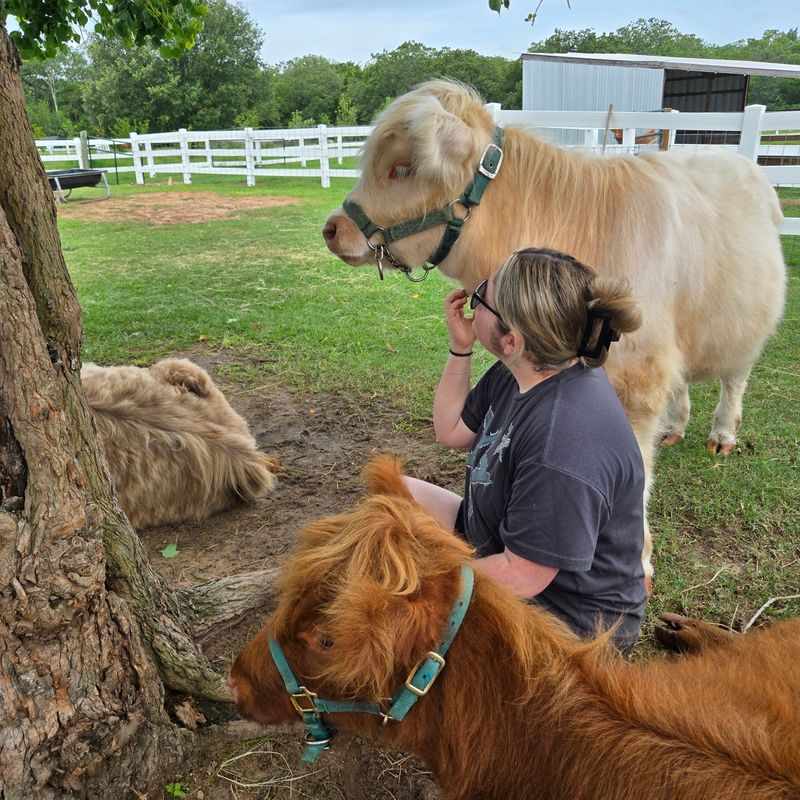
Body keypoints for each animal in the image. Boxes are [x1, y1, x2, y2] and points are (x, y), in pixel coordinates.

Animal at [322, 81, 787, 578]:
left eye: (402, 169)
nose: (332, 228)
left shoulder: (639, 381)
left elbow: (638, 467)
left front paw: (640, 556)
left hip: (746, 332)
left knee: (734, 380)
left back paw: (722, 435)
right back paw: (676, 427)